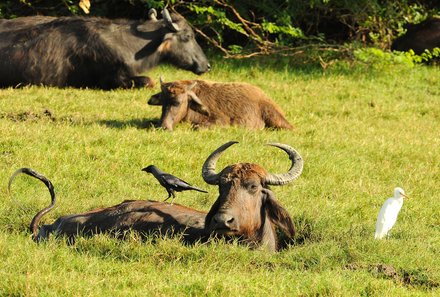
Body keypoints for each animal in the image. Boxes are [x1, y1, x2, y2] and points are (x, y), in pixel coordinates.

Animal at [148, 78, 296, 130]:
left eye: (178, 102)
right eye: (163, 102)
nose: (163, 126)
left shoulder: (220, 120)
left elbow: (198, 127)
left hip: (276, 119)